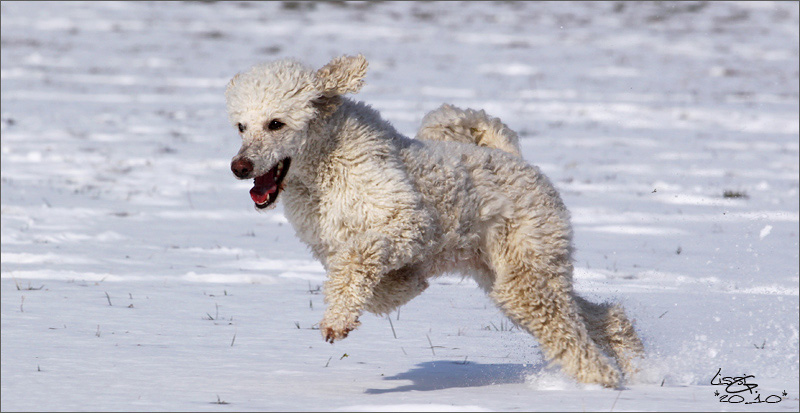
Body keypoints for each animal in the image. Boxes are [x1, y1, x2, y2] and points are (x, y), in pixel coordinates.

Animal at [225, 54, 644, 386]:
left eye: (276, 123)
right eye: (241, 126)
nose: (239, 166)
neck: (324, 165)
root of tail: (519, 161)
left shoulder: (409, 220)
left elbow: (360, 255)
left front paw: (339, 320)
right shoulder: (329, 248)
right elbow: (368, 287)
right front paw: (405, 285)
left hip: (526, 272)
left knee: (569, 333)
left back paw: (602, 379)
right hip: (510, 275)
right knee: (598, 316)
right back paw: (635, 364)